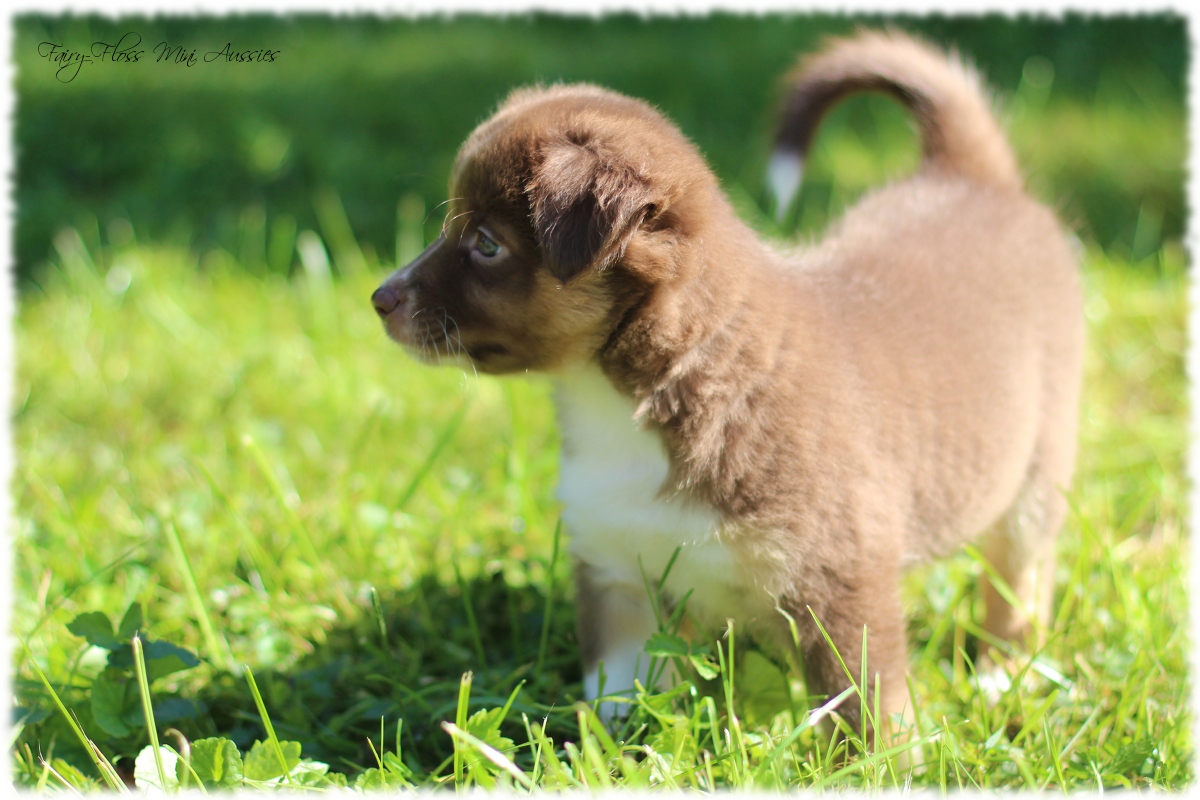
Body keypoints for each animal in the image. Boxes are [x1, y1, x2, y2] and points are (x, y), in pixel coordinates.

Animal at [369, 31, 1084, 738]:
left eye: (486, 244)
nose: (379, 298)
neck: (633, 401)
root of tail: (967, 175)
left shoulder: (839, 585)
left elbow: (863, 711)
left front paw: (883, 761)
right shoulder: (617, 574)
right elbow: (615, 700)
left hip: (1037, 471)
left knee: (1022, 576)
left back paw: (1001, 673)